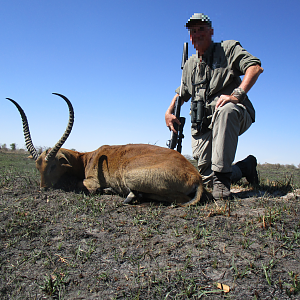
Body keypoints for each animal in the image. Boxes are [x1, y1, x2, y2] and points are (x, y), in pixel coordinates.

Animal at [7, 94, 209, 206]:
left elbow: (81, 184)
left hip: (131, 176)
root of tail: (195, 176)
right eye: (37, 166)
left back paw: (129, 196)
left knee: (177, 199)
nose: (43, 188)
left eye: (53, 165)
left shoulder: (91, 181)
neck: (87, 158)